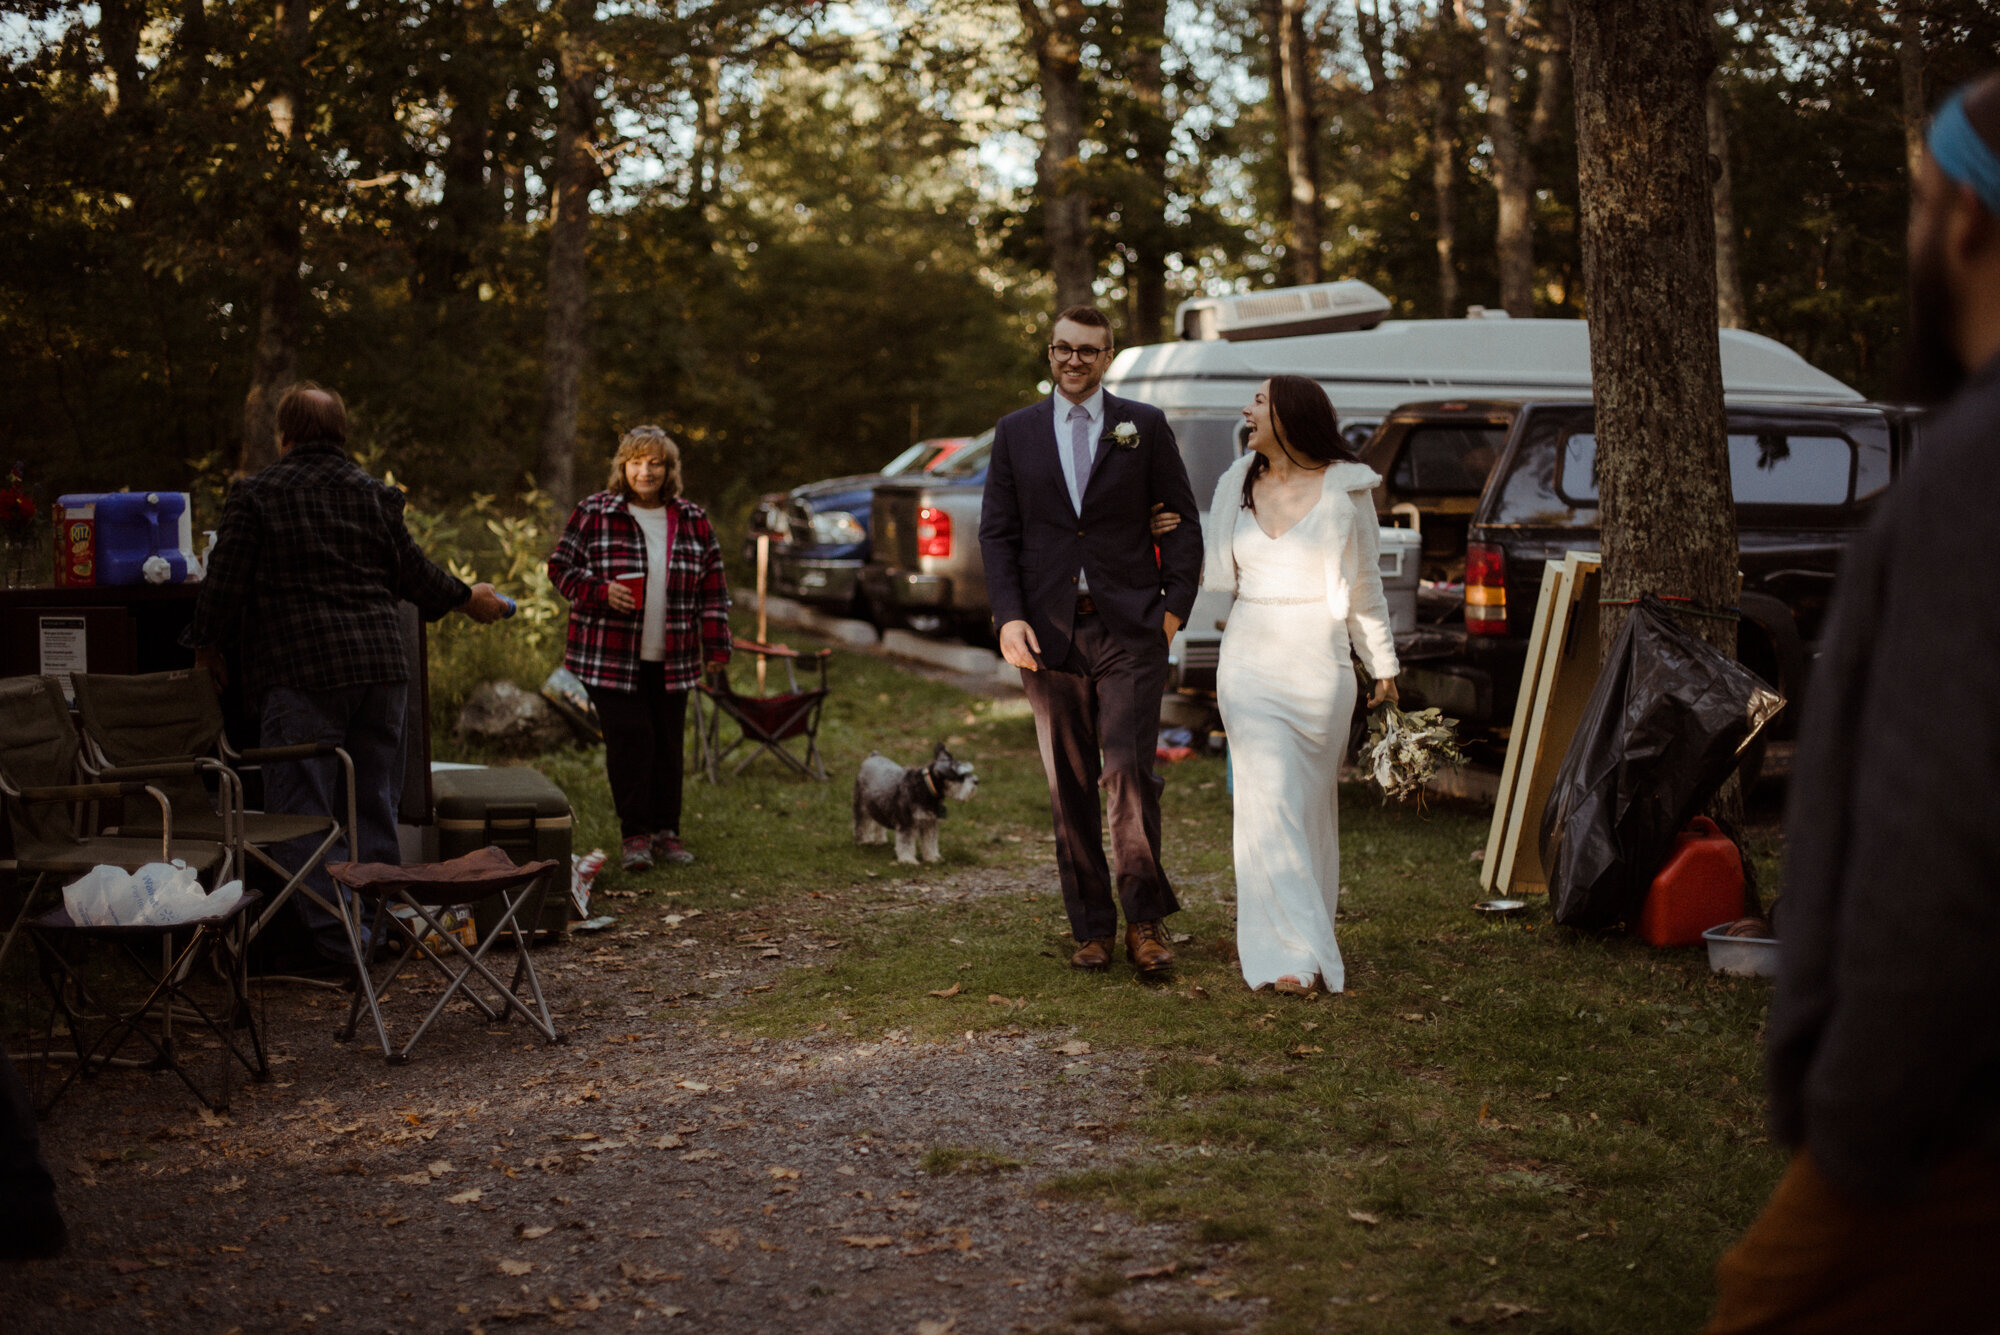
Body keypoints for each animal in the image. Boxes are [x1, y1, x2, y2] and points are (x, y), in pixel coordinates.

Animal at [852, 739, 976, 867]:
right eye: (960, 776)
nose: (976, 781)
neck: (925, 787)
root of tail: (873, 756)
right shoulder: (907, 824)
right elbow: (906, 843)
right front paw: (908, 860)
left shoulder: (929, 823)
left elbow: (930, 843)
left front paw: (932, 858)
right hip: (861, 805)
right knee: (861, 824)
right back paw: (863, 841)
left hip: (879, 806)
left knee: (878, 824)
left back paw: (880, 840)